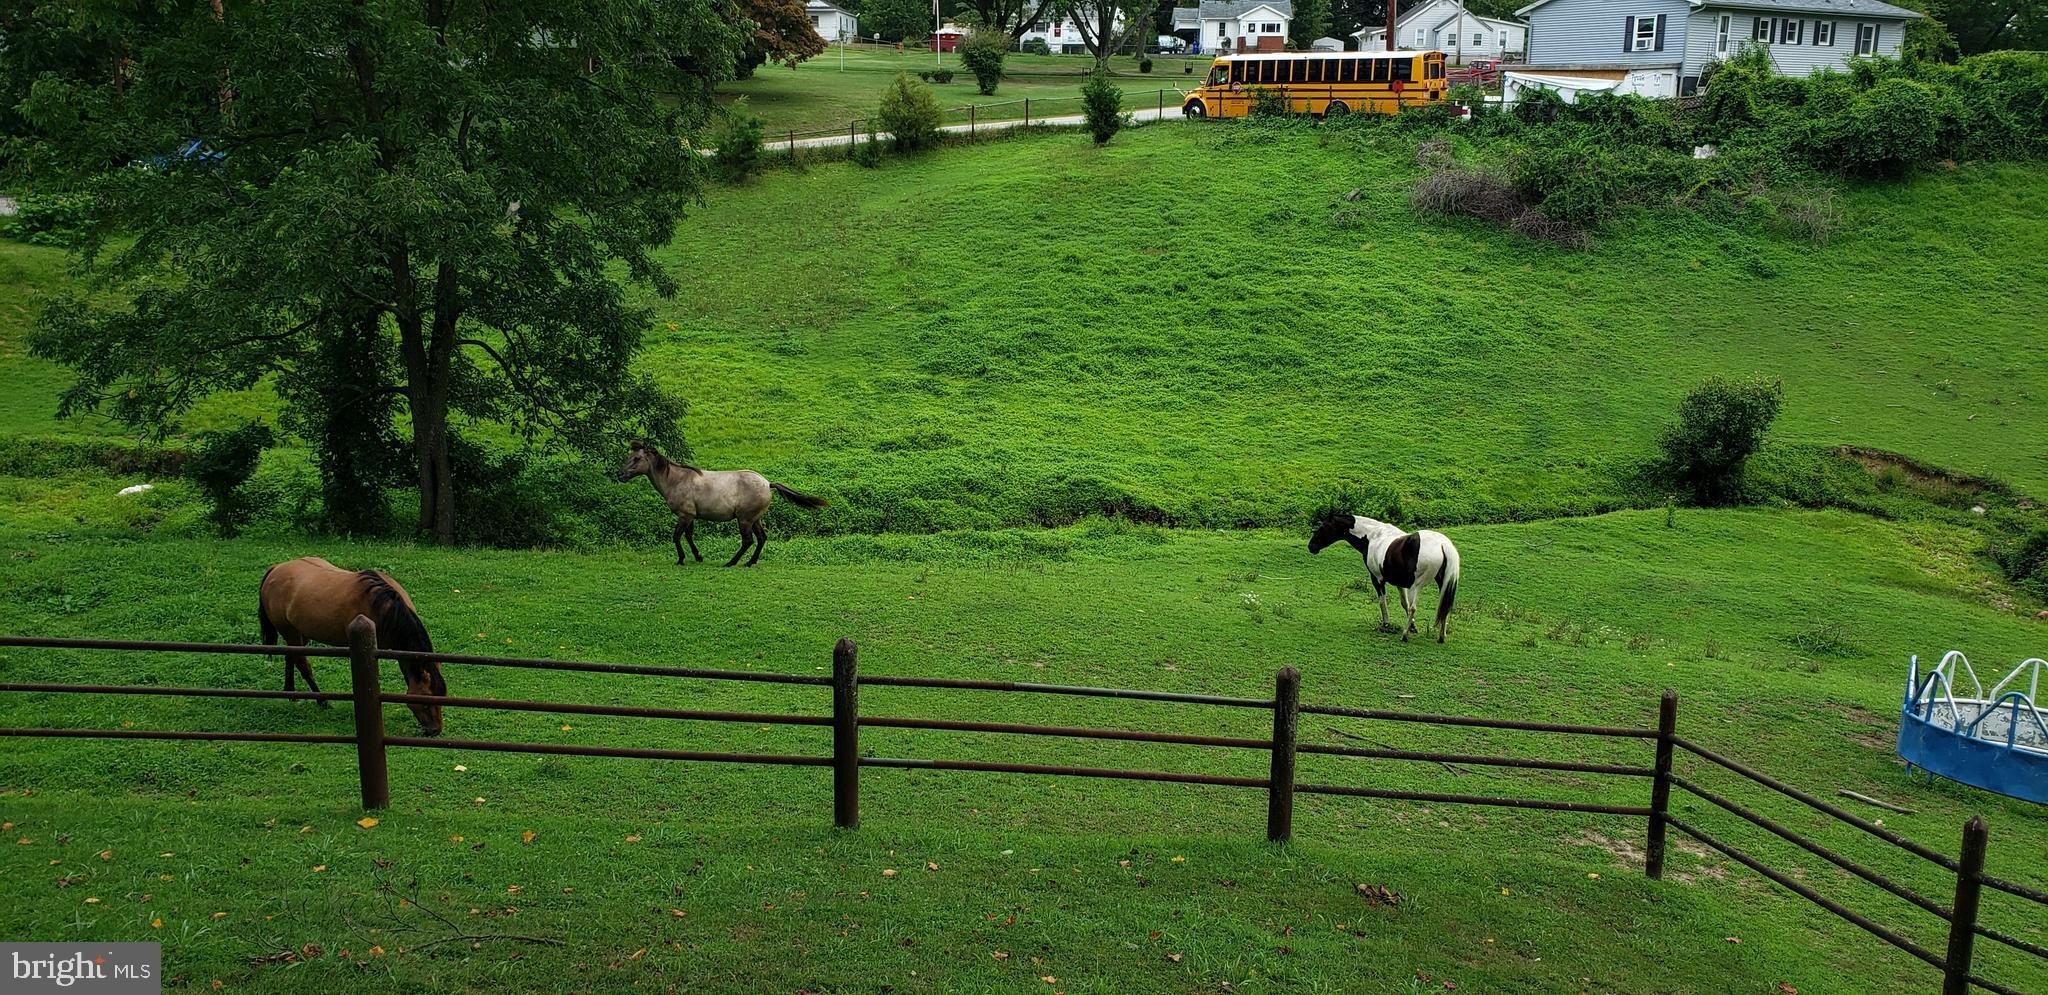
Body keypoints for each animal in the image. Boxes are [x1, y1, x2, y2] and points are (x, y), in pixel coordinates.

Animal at [258, 556, 446, 732]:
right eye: (426, 703)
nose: (435, 730)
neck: (384, 608)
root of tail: (276, 569)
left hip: (299, 633)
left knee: (290, 657)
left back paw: (291, 693)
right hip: (290, 632)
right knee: (302, 664)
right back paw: (322, 701)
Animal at [610, 442, 827, 569]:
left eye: (637, 458)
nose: (620, 474)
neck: (676, 480)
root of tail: (767, 483)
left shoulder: (684, 515)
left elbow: (677, 536)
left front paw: (681, 559)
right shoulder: (691, 516)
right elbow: (689, 536)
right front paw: (698, 557)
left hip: (744, 519)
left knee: (748, 540)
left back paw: (731, 562)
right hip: (755, 518)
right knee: (762, 538)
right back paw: (750, 562)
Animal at [1310, 513, 1458, 646]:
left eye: (1324, 527)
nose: (1311, 546)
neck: (1372, 536)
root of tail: (1442, 544)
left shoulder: (1377, 578)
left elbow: (1383, 601)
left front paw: (1386, 624)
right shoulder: (1400, 583)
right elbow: (1404, 604)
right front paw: (1413, 628)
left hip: (1417, 585)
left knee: (1414, 608)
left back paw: (1404, 636)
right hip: (1442, 584)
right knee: (1444, 607)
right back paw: (1441, 637)